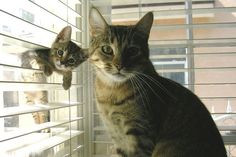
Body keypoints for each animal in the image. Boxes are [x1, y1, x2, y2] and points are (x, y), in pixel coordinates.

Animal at [88, 7, 227, 157]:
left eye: (132, 50)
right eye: (107, 49)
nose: (119, 66)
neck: (111, 92)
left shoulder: (141, 135)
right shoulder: (117, 137)